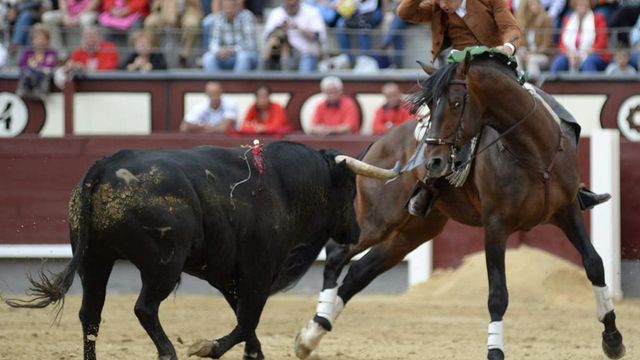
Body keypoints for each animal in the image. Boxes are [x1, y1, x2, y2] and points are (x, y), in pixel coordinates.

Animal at [5, 141, 382, 360]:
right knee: (144, 308)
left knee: (90, 314)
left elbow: (244, 318)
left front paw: (252, 354)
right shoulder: (258, 271)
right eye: (350, 190)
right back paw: (168, 352)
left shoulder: (228, 275)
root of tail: (103, 167)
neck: (283, 185)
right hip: (163, 264)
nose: (355, 232)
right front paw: (208, 347)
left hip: (94, 260)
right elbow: (248, 318)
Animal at [296, 53, 624, 360]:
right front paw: (495, 351)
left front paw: (613, 339)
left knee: (359, 271)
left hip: (414, 231)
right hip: (380, 220)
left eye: (455, 103)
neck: (534, 153)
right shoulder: (496, 226)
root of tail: (379, 143)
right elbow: (497, 293)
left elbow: (594, 264)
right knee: (337, 254)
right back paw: (312, 332)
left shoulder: (567, 212)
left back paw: (314, 334)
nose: (433, 162)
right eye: (429, 103)